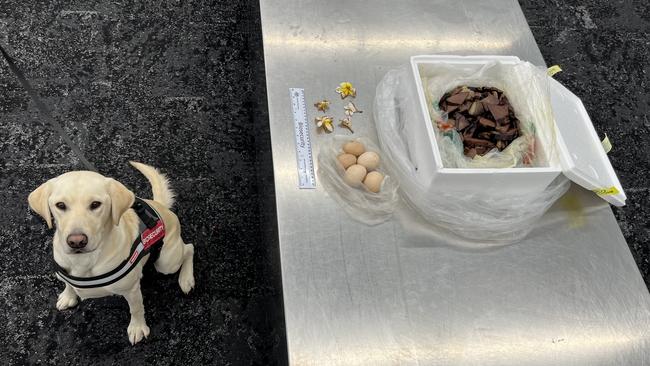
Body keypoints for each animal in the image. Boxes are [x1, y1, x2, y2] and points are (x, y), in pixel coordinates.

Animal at [27, 162, 194, 344]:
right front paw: (68, 296)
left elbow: (136, 309)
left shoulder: (132, 290)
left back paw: (186, 279)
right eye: (60, 205)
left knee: (189, 248)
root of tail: (160, 206)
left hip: (166, 262)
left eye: (95, 204)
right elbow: (68, 283)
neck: (84, 261)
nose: (76, 241)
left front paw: (137, 327)